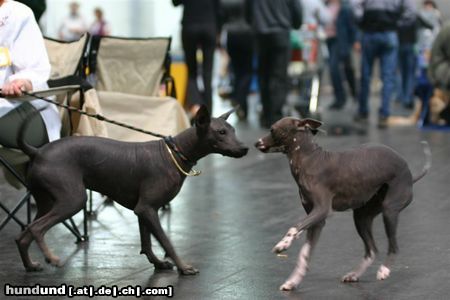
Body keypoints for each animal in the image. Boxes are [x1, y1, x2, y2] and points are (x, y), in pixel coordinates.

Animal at [15, 105, 248, 274]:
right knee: (36, 229)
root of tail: (38, 151)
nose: (245, 148)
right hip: (73, 200)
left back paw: (30, 265)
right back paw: (52, 258)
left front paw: (159, 263)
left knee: (23, 234)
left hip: (47, 202)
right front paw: (183, 267)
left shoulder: (143, 210)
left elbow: (147, 242)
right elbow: (166, 242)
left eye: (233, 131)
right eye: (221, 132)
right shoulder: (147, 209)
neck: (176, 152)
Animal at [255, 117, 430, 290]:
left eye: (272, 129)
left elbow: (295, 226)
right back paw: (354, 274)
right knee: (372, 250)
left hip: (389, 211)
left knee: (393, 246)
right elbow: (304, 253)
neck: (309, 160)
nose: (256, 143)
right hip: (361, 218)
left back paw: (384, 270)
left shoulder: (321, 210)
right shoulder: (317, 221)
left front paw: (283, 244)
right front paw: (293, 281)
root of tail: (410, 174)